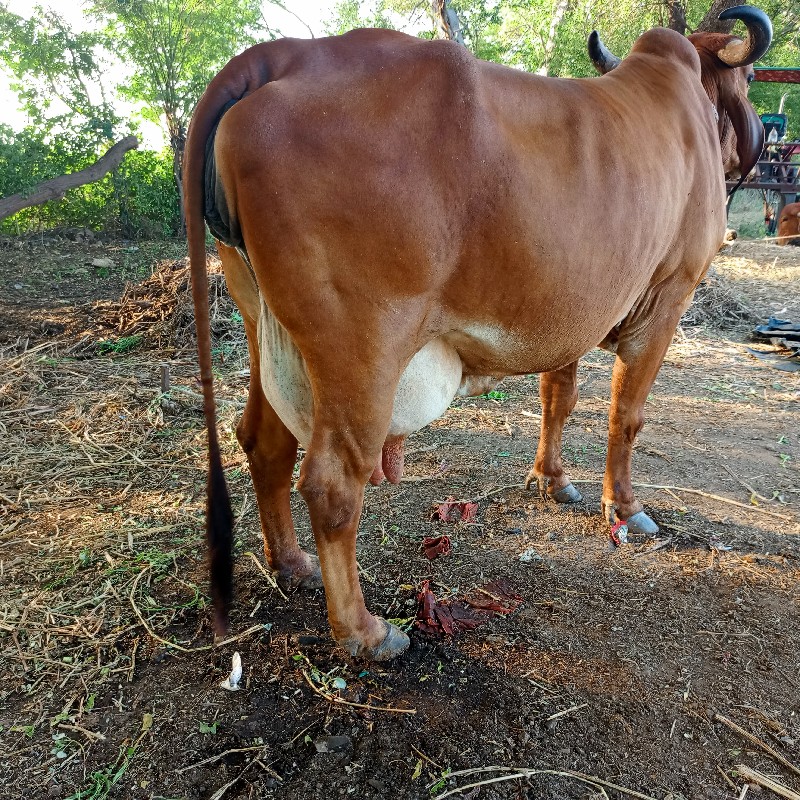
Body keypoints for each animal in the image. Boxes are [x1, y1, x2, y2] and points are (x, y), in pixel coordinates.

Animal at [184, 6, 772, 660]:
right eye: (750, 80)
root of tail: (282, 55)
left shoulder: (568, 312)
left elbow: (558, 397)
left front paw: (552, 480)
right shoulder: (668, 295)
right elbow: (628, 415)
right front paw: (624, 506)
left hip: (265, 325)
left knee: (266, 442)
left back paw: (291, 564)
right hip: (362, 349)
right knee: (332, 482)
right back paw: (364, 631)